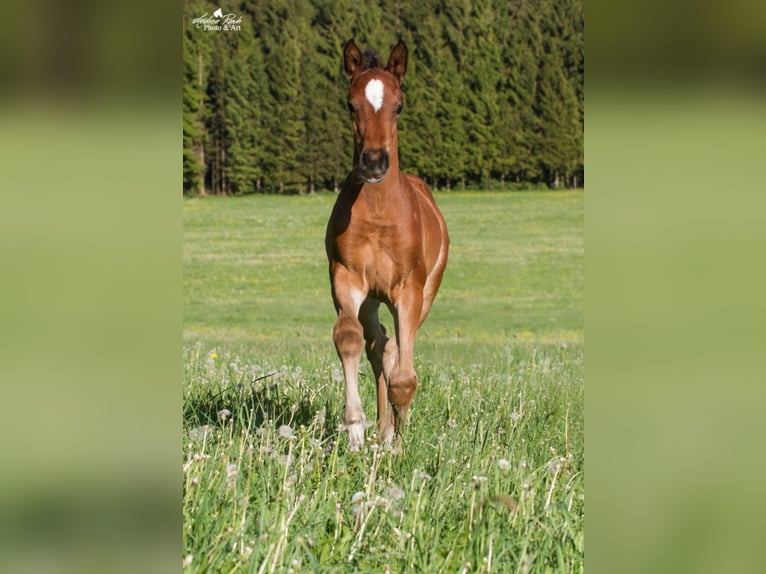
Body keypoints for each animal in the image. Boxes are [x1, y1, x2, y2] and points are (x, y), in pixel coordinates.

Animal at [325, 39, 449, 451]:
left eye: (399, 105)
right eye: (351, 104)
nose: (375, 162)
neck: (380, 215)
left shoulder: (408, 289)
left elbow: (404, 376)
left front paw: (398, 443)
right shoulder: (346, 278)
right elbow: (348, 337)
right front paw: (356, 428)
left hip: (426, 293)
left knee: (393, 349)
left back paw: (392, 430)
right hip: (372, 298)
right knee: (377, 345)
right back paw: (381, 428)